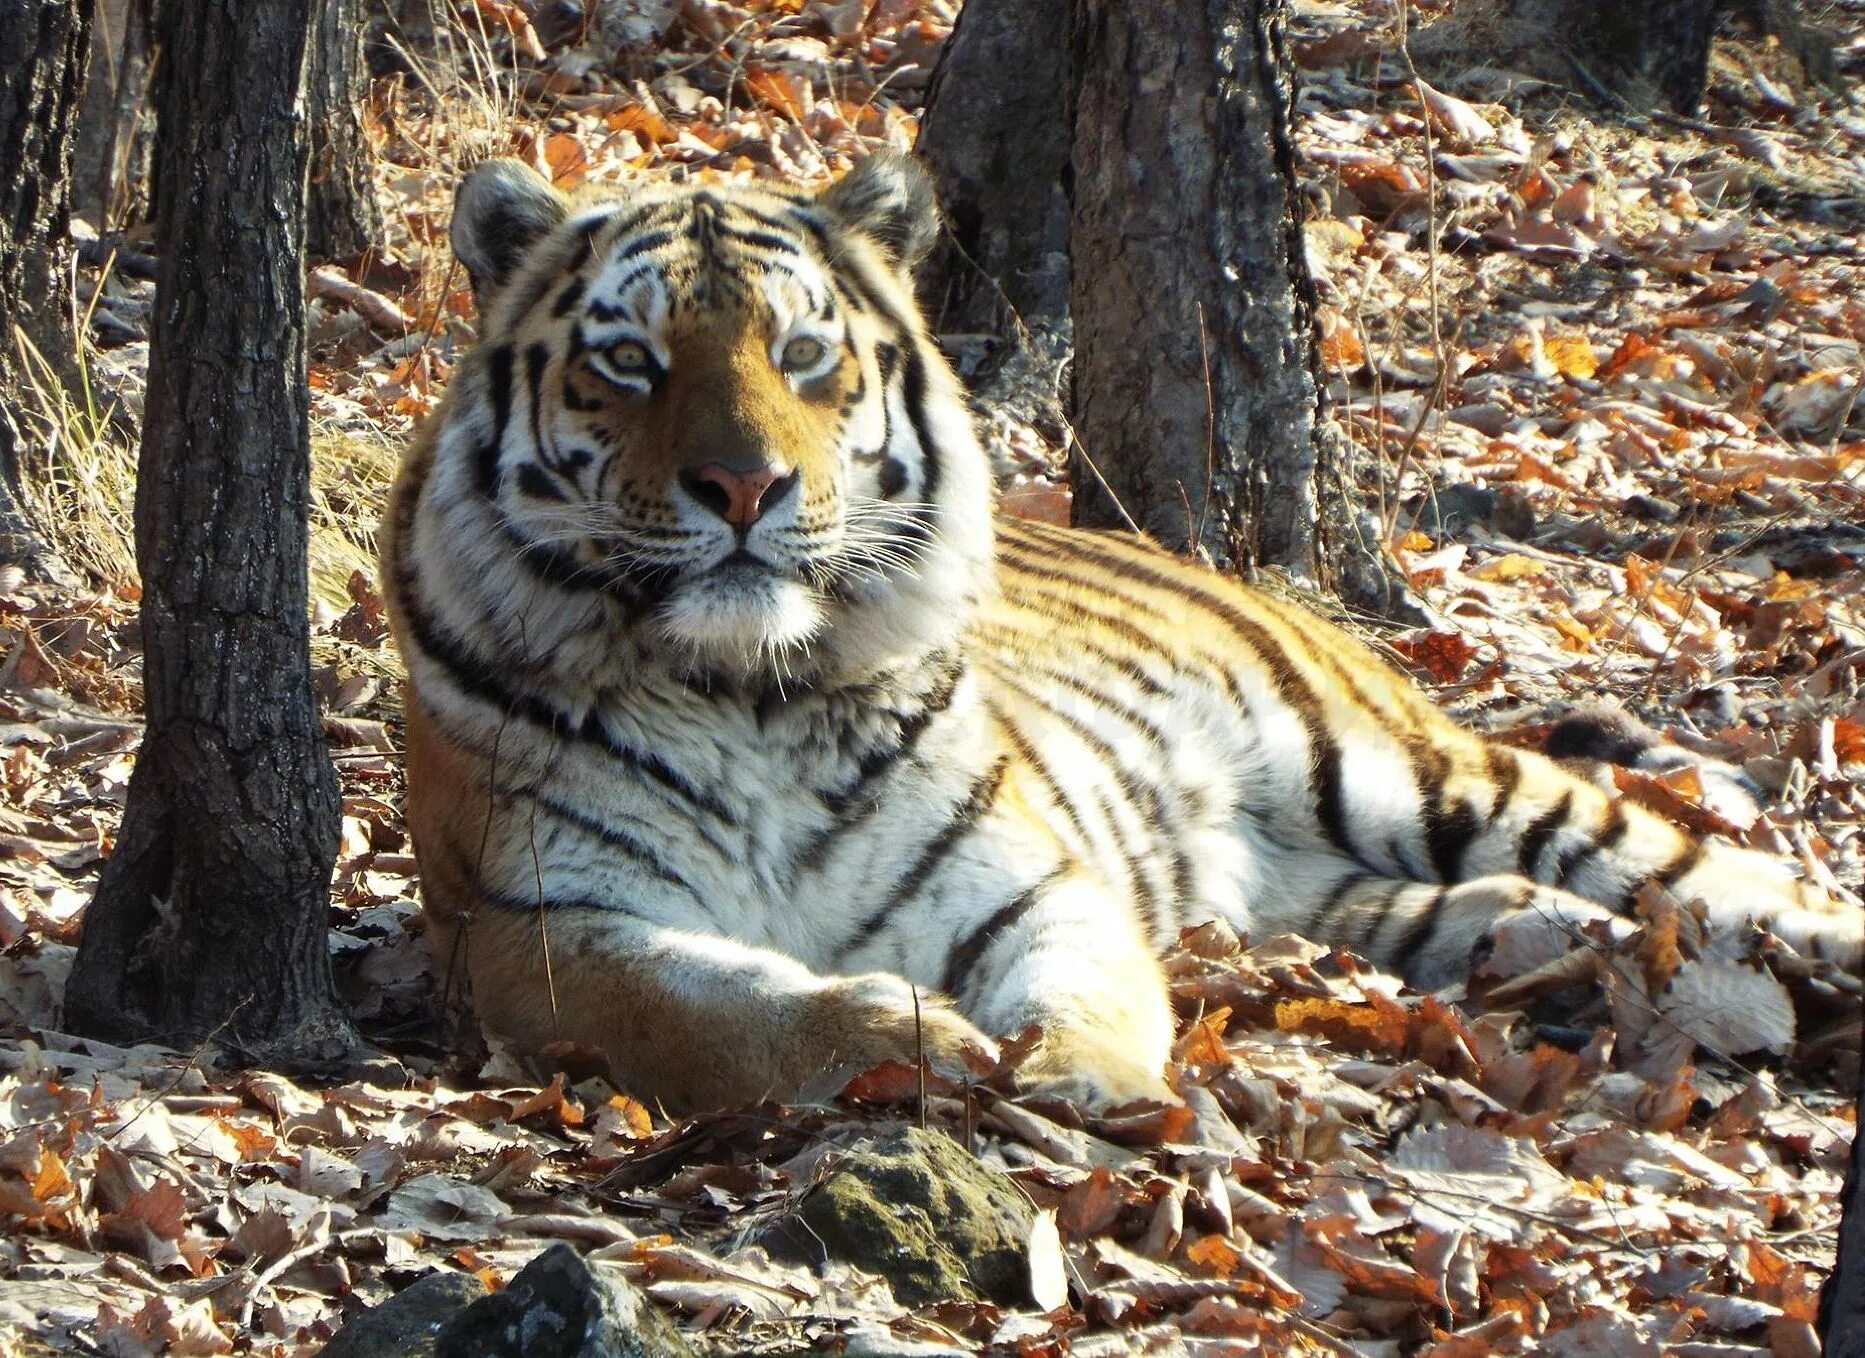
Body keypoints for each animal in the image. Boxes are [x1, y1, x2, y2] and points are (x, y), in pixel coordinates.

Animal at [382, 151, 1865, 1111]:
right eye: (628, 361)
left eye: (803, 356)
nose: (744, 487)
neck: (745, 684)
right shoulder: (537, 924)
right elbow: (723, 1010)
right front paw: (902, 1037)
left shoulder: (1026, 878)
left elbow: (1083, 979)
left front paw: (1076, 1074)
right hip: (1324, 892)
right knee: (1502, 909)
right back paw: (1561, 954)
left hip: (1418, 773)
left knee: (1710, 871)